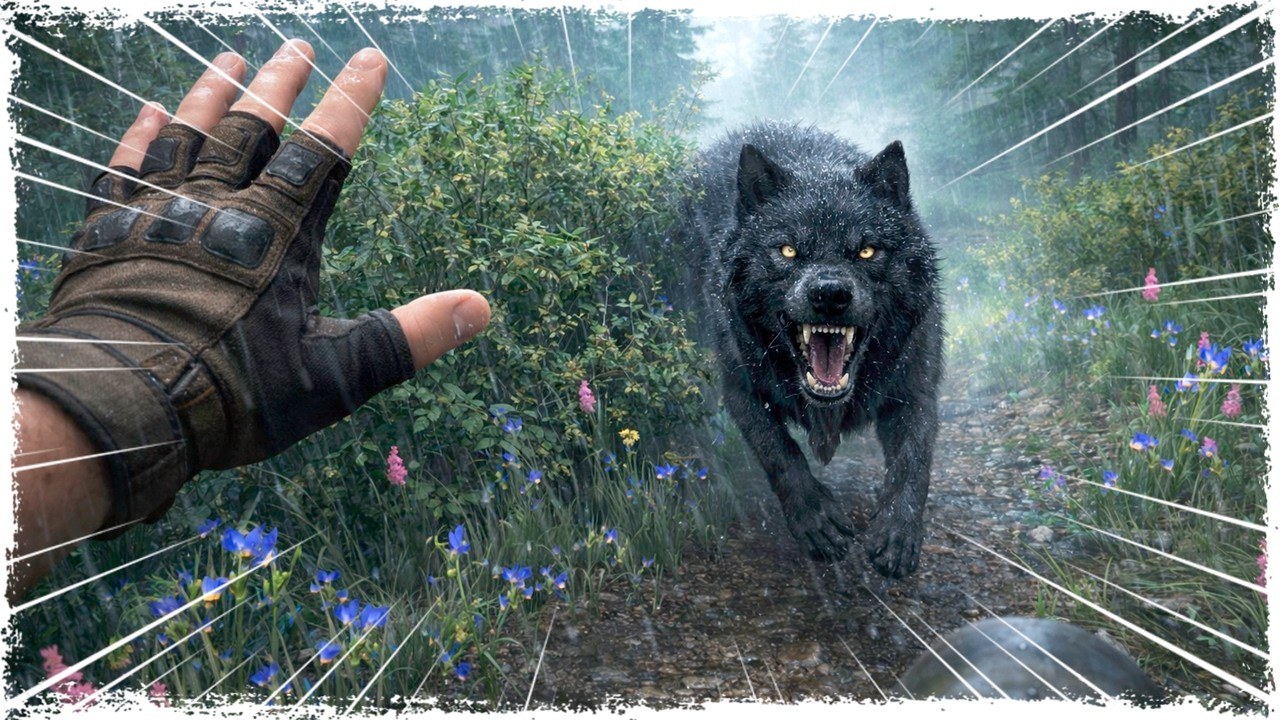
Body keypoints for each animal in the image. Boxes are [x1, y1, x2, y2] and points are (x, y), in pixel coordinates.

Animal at [674, 122, 943, 578]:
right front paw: (815, 519)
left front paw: (897, 532)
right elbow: (779, 452)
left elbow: (913, 461)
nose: (830, 293)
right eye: (788, 250)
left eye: (866, 250)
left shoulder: (915, 387)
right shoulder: (741, 389)